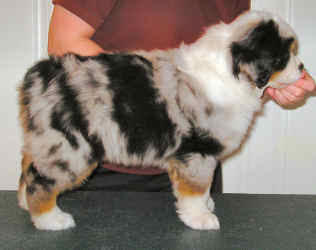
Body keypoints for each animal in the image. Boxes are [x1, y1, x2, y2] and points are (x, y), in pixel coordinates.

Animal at [17, 11, 304, 230]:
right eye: (282, 57)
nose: (302, 69)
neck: (232, 72)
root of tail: (39, 75)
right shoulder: (197, 150)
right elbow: (196, 188)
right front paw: (200, 218)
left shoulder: (198, 155)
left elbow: (202, 187)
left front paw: (206, 205)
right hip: (71, 147)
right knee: (40, 181)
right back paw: (50, 219)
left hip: (47, 139)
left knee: (29, 167)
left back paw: (23, 204)